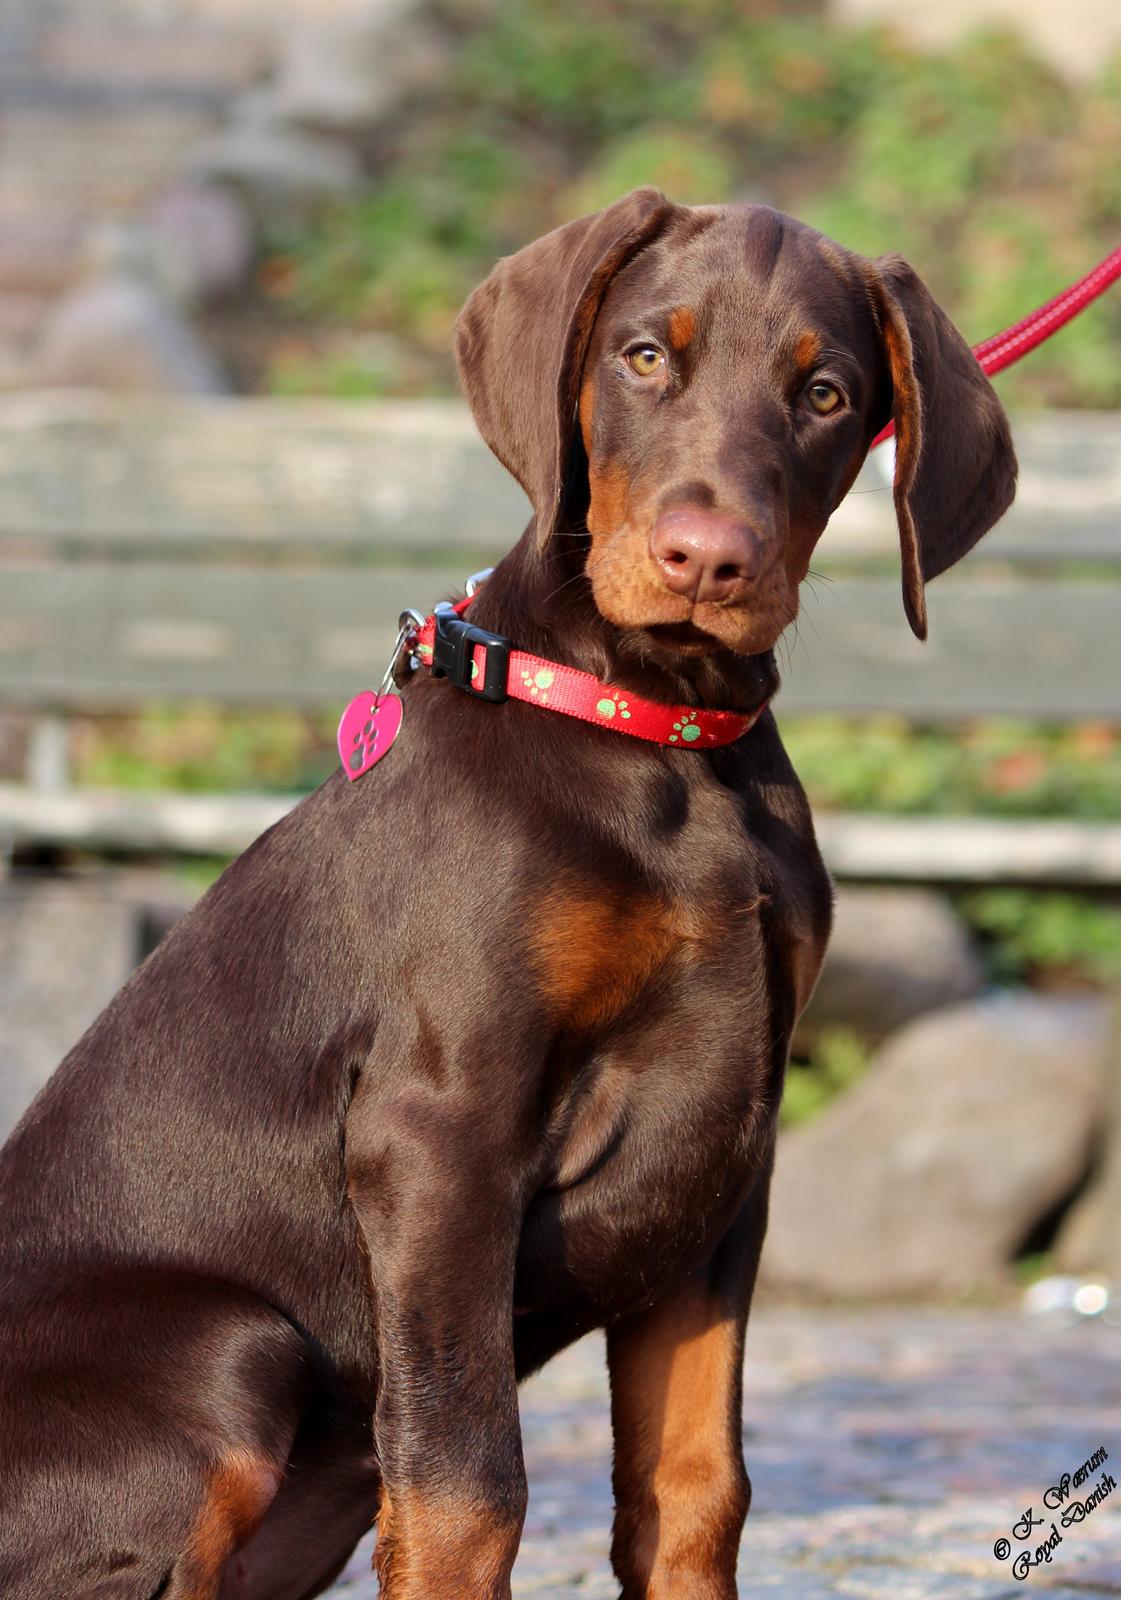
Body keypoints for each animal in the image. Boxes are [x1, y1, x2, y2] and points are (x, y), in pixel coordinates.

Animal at [0, 190, 1017, 1600]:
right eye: (643, 357)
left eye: (824, 393)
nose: (707, 561)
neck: (657, 727)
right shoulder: (440, 1127)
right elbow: (462, 1489)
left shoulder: (726, 1151)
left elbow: (692, 1490)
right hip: (224, 1348)